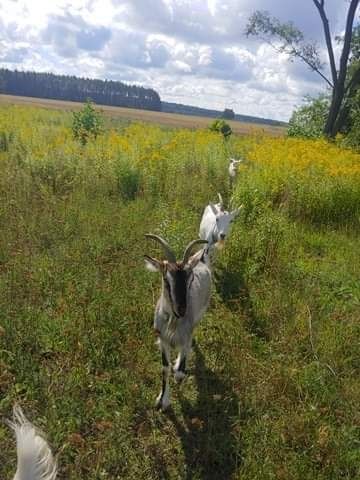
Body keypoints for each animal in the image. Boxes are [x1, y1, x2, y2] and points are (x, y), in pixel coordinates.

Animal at [143, 234, 211, 410]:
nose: (181, 310)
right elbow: (165, 368)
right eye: (166, 279)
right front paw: (162, 400)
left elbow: (180, 371)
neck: (173, 322)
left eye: (190, 278)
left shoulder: (186, 335)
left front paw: (178, 371)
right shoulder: (163, 340)